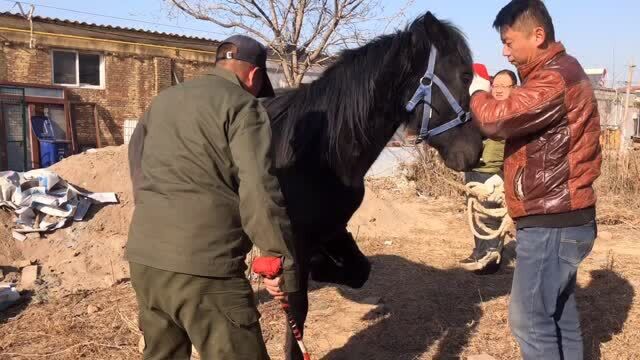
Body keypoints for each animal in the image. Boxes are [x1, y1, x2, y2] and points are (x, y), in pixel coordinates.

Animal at [262, 11, 482, 360]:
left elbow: (358, 270)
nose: (476, 150)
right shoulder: (294, 244)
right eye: (464, 75)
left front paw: (323, 265)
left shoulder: (332, 228)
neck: (319, 148)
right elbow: (297, 313)